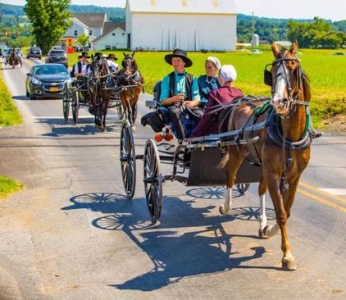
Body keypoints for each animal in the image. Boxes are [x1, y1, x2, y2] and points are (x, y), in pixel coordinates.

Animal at [220, 41, 314, 270]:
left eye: (293, 67)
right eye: (271, 72)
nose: (278, 101)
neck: (290, 134)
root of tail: (242, 100)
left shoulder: (294, 176)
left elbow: (287, 211)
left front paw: (268, 229)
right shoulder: (273, 173)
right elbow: (280, 213)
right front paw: (287, 254)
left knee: (260, 188)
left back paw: (262, 223)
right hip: (236, 153)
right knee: (230, 177)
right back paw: (226, 207)